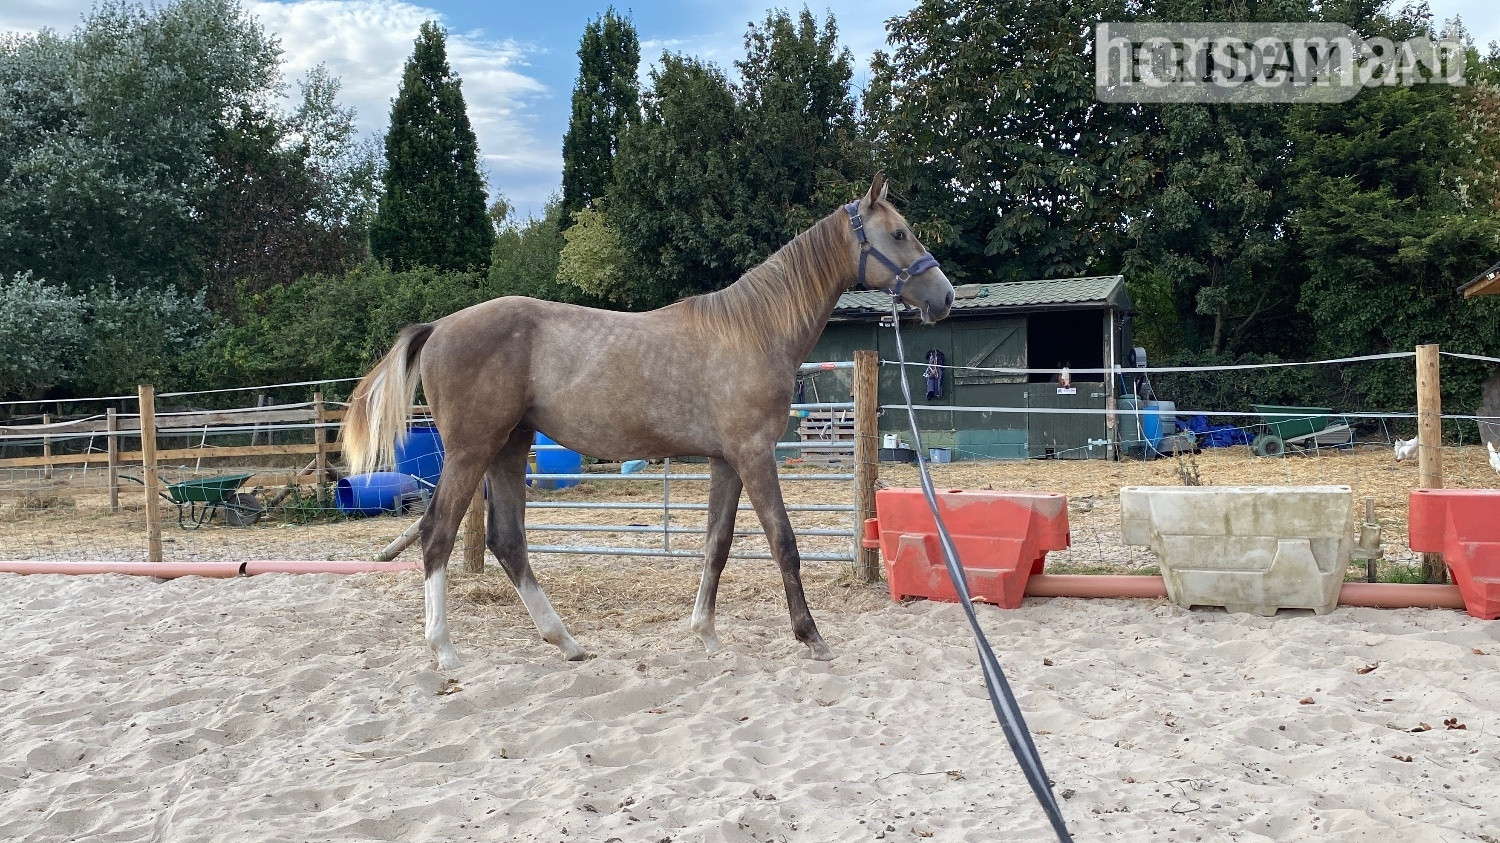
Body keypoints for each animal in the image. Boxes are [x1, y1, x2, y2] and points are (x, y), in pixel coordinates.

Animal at [342, 173, 954, 669]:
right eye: (899, 234)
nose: (944, 297)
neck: (753, 329)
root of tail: (438, 328)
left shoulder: (728, 461)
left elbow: (717, 542)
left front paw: (705, 633)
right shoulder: (755, 455)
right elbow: (783, 541)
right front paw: (811, 636)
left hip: (509, 448)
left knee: (508, 541)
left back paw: (566, 642)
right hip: (471, 451)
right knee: (438, 534)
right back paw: (444, 649)